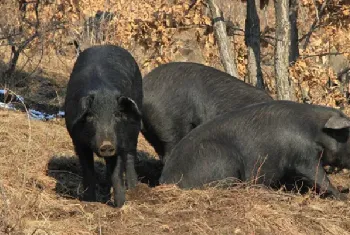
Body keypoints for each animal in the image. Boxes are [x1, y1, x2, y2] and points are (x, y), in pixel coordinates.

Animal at [64, 45, 142, 207]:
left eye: (117, 114)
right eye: (90, 115)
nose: (106, 144)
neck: (102, 92)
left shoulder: (119, 141)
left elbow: (117, 172)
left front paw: (120, 205)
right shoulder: (78, 141)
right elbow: (88, 171)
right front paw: (90, 201)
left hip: (134, 126)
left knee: (130, 155)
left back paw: (133, 189)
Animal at [161, 101, 350, 200]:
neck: (316, 131)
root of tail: (166, 179)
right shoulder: (303, 157)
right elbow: (319, 176)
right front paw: (343, 197)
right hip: (221, 159)